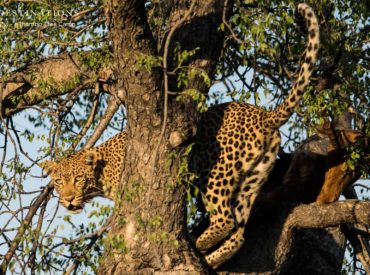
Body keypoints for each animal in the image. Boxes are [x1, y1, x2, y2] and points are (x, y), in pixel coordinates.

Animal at [189, 3, 320, 270]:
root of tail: (264, 116)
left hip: (218, 170)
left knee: (224, 219)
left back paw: (200, 244)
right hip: (251, 179)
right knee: (238, 232)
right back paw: (212, 258)